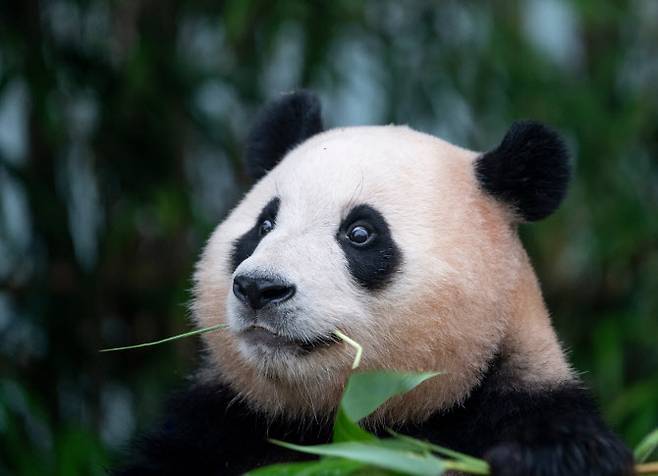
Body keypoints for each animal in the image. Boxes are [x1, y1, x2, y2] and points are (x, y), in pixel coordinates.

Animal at [115, 91, 632, 474]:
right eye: (263, 225)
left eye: (360, 233)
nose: (260, 289)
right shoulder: (215, 423)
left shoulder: (518, 397)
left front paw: (547, 459)